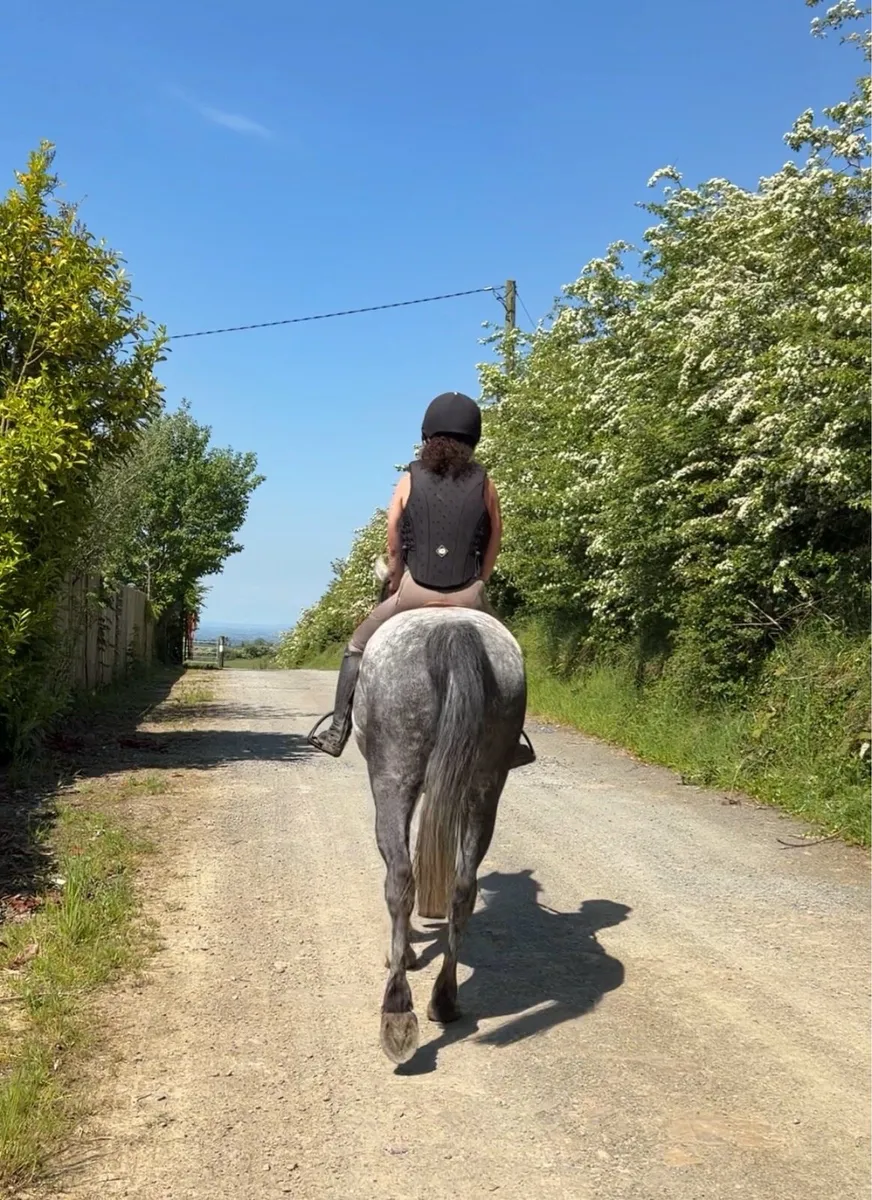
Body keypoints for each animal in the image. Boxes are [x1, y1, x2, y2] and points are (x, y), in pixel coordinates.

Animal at [352, 559, 527, 1064]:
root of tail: (452, 631)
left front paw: (405, 950)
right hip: (487, 785)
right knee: (463, 886)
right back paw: (445, 1000)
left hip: (393, 778)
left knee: (399, 880)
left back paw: (397, 1011)